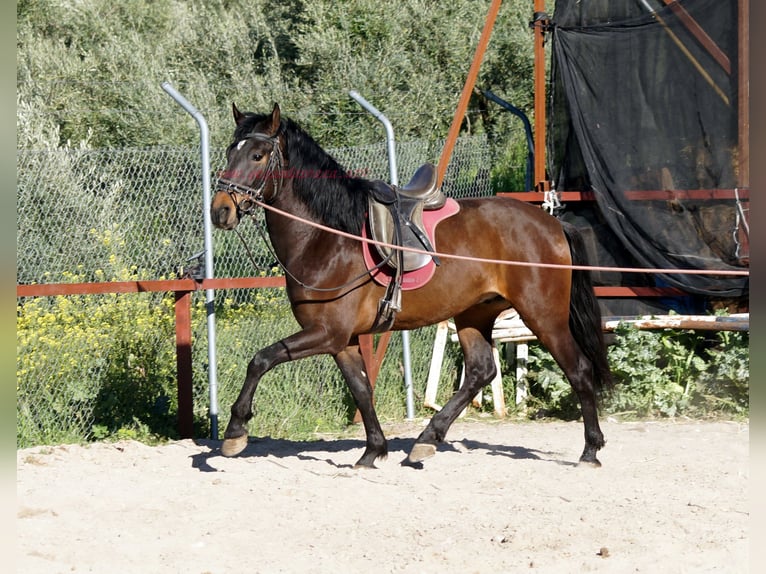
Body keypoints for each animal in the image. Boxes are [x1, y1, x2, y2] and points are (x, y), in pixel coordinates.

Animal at [210, 102, 613, 468]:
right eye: (230, 151)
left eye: (258, 155)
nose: (220, 211)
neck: (328, 237)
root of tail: (553, 224)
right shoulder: (341, 339)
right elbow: (361, 389)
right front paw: (373, 450)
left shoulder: (326, 333)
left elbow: (261, 359)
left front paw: (235, 432)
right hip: (474, 314)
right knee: (481, 372)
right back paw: (426, 440)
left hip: (543, 315)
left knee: (578, 369)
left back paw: (590, 450)